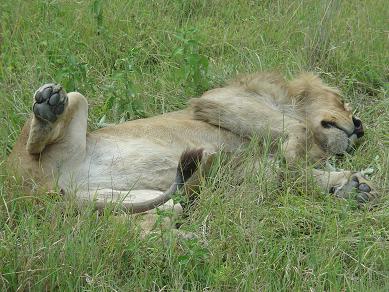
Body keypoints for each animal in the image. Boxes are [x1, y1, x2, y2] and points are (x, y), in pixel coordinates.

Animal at [6, 72, 376, 232]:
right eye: (343, 101)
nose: (359, 127)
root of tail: (37, 194)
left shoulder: (250, 169)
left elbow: (292, 175)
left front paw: (352, 187)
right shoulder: (219, 101)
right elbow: (296, 134)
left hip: (136, 201)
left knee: (147, 224)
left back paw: (186, 239)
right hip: (74, 102)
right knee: (37, 139)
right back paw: (49, 106)